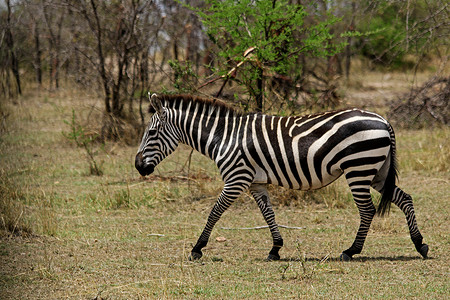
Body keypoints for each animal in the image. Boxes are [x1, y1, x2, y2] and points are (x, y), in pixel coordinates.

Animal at [134, 93, 428, 260]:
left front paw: (197, 248)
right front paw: (275, 248)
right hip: (377, 171)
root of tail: (383, 120)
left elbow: (214, 212)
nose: (138, 166)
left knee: (367, 210)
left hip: (359, 169)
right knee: (405, 199)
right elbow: (268, 214)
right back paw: (420, 244)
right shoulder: (256, 182)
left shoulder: (237, 178)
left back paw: (351, 251)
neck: (223, 137)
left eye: (151, 133)